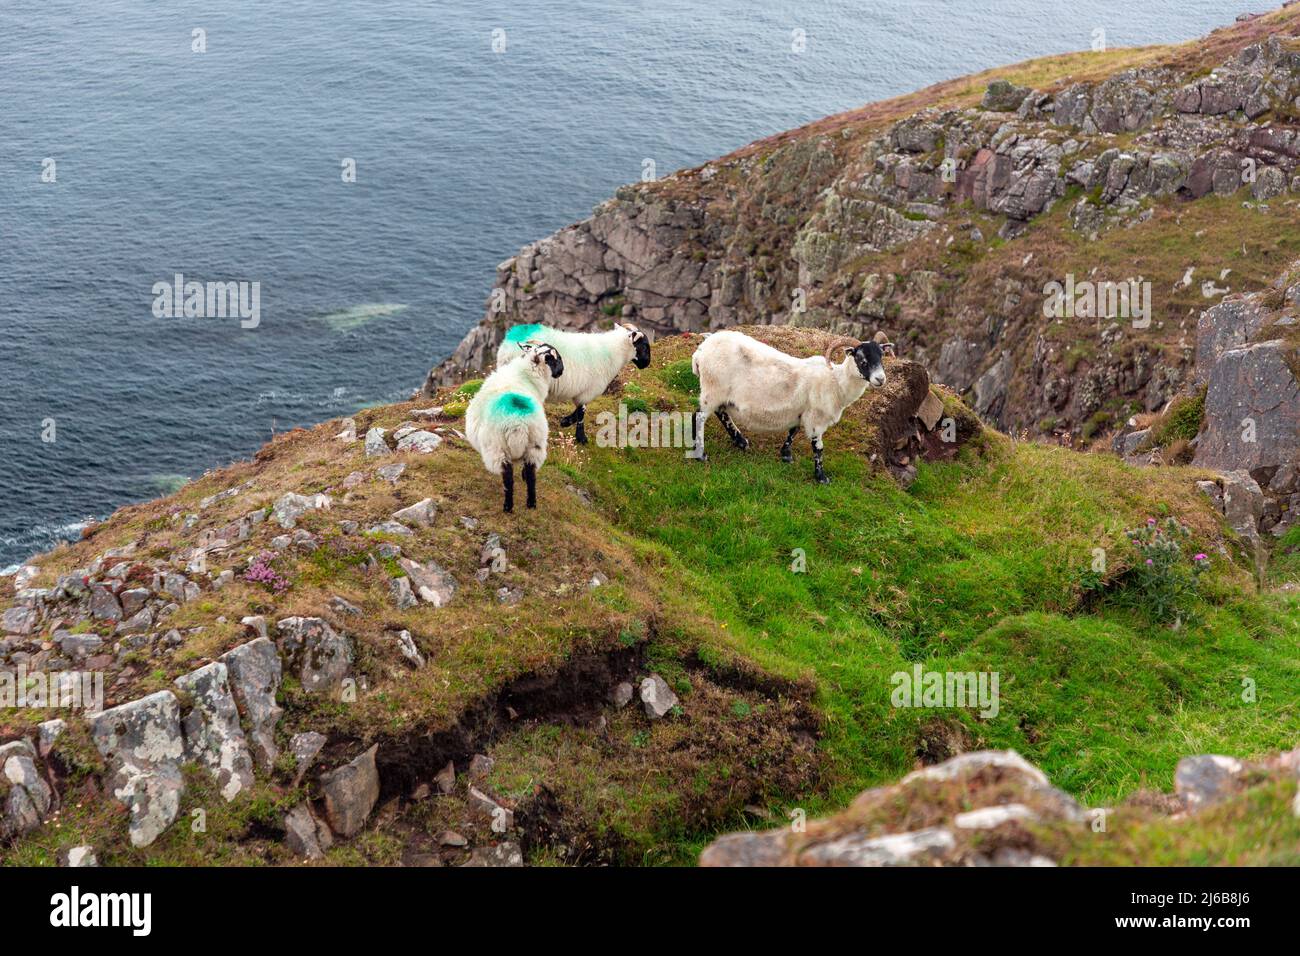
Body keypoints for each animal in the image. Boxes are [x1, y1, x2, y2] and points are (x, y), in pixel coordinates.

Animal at [470, 340, 566, 512]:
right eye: (558, 358)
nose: (561, 371)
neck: (527, 372)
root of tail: (518, 423)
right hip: (536, 444)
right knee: (531, 474)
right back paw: (531, 503)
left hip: (497, 447)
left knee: (508, 477)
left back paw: (508, 507)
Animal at [691, 330, 883, 486]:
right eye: (861, 359)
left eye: (882, 356)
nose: (881, 379)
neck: (836, 382)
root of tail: (700, 352)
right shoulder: (816, 418)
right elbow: (818, 448)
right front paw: (821, 478)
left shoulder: (801, 411)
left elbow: (793, 431)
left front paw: (786, 455)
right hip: (713, 388)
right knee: (698, 417)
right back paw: (701, 454)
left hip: (720, 394)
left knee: (721, 412)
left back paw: (741, 441)